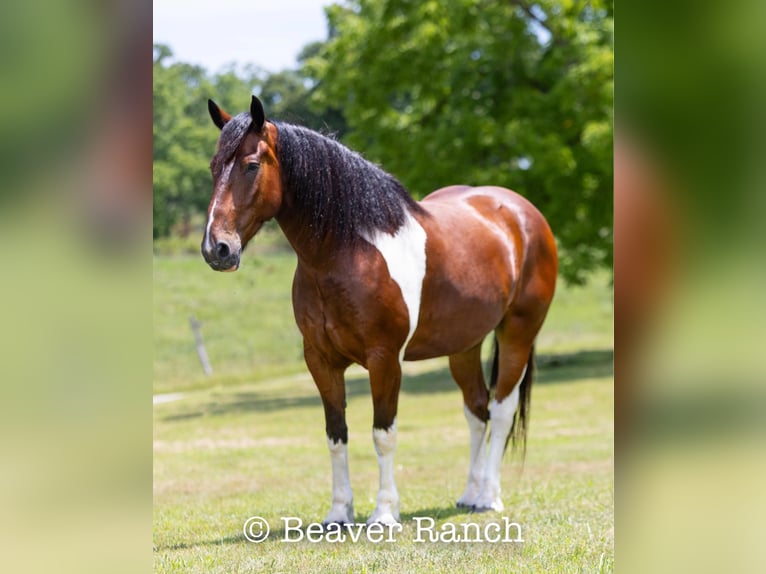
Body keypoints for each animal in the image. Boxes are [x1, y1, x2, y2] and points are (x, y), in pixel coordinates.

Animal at [202, 96, 557, 526]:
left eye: (251, 165)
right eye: (213, 166)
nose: (217, 249)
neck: (347, 253)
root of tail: (521, 213)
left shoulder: (385, 359)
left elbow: (383, 434)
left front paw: (384, 513)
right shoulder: (320, 361)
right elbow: (336, 434)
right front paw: (339, 513)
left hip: (518, 334)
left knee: (502, 410)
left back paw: (489, 496)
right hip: (464, 345)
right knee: (477, 410)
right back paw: (470, 495)